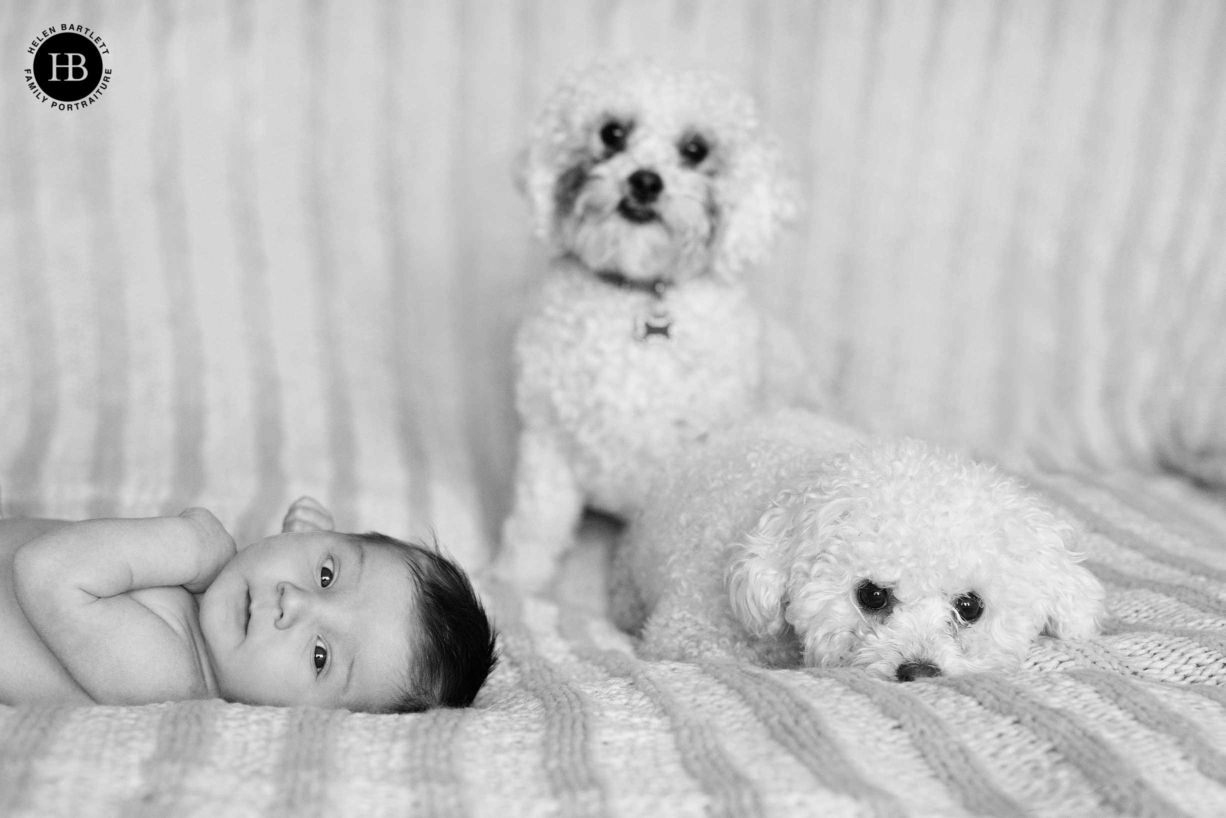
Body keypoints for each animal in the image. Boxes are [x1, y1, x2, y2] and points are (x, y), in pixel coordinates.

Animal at [495, 60, 804, 591]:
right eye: (612, 132)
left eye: (695, 149)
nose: (644, 181)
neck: (638, 295)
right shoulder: (548, 441)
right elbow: (535, 525)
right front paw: (512, 585)